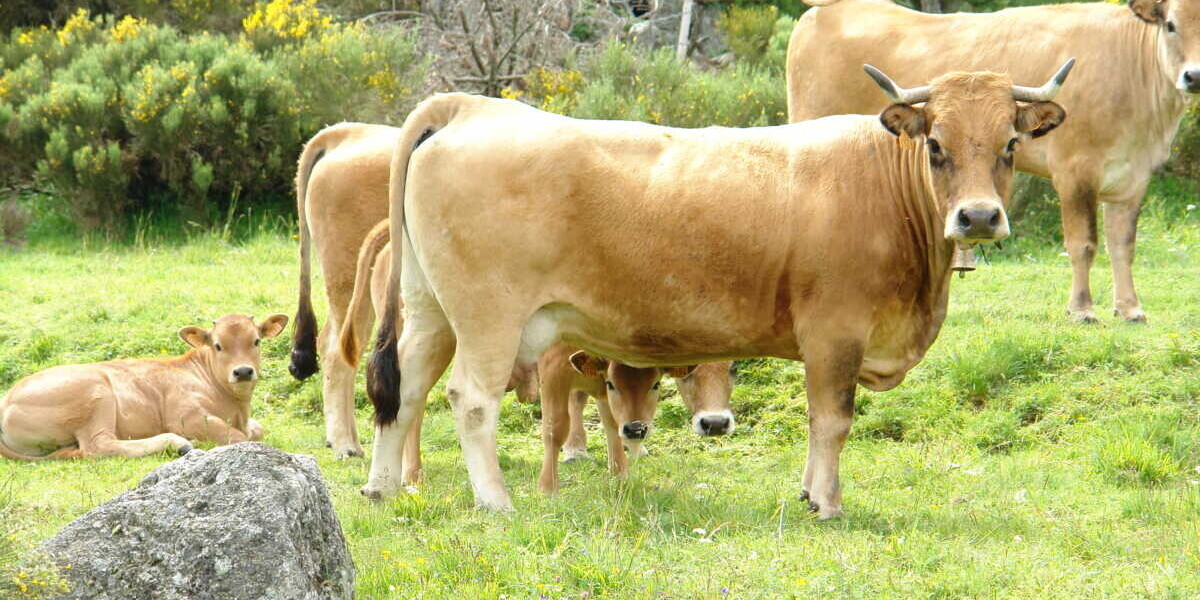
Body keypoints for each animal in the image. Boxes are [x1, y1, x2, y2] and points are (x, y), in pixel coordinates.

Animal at [0, 314, 288, 460]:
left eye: (256, 340)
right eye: (218, 345)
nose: (243, 371)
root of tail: (7, 398)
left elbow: (257, 431)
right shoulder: (185, 416)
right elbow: (239, 438)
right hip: (95, 392)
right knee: (99, 445)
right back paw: (179, 444)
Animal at [338, 221, 736, 488]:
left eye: (732, 368)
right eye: (688, 374)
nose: (715, 423)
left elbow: (609, 423)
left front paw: (620, 472)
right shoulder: (555, 372)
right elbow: (555, 427)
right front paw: (548, 486)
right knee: (413, 403)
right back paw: (412, 473)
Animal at [787, 0, 1200, 323]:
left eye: (1011, 142)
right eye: (1171, 24)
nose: (1193, 76)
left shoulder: (1133, 179)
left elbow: (1122, 244)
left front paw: (1130, 308)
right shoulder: (1075, 172)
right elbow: (1083, 243)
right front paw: (1082, 309)